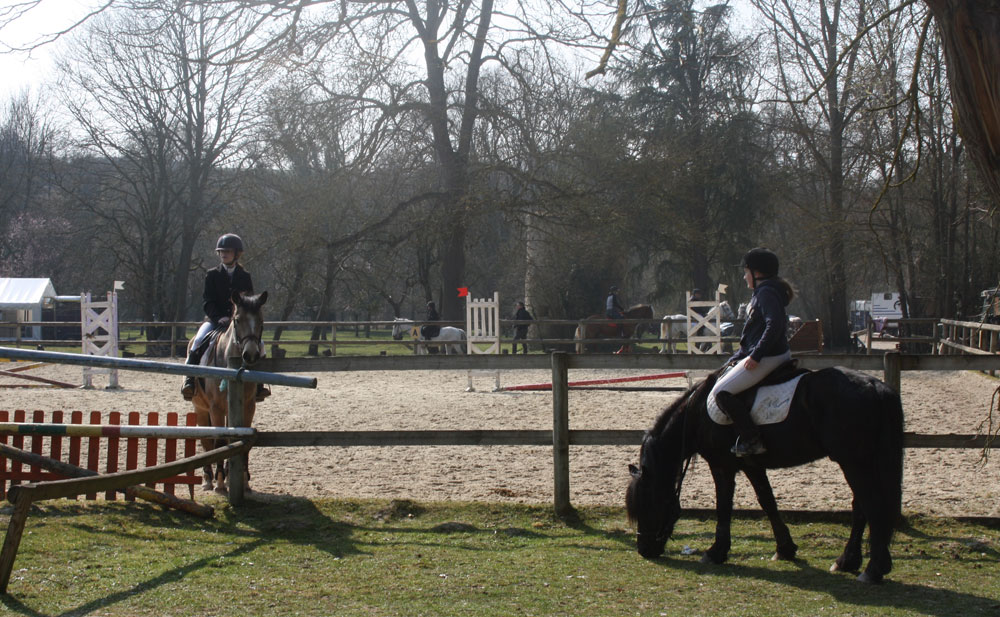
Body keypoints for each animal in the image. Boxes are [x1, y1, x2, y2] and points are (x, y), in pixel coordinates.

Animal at [187, 288, 268, 490]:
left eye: (261, 321)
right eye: (237, 320)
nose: (251, 354)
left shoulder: (248, 407)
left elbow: (241, 439)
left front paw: (243, 480)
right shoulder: (216, 408)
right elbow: (220, 441)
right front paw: (220, 481)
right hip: (200, 408)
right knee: (206, 441)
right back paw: (208, 478)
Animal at [624, 366, 908, 584]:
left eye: (648, 504)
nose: (643, 550)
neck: (696, 414)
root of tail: (875, 386)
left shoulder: (722, 465)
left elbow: (723, 506)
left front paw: (715, 552)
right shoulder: (751, 464)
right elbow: (767, 501)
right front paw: (785, 549)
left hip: (853, 462)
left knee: (870, 505)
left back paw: (872, 570)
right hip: (861, 461)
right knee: (862, 506)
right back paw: (848, 561)